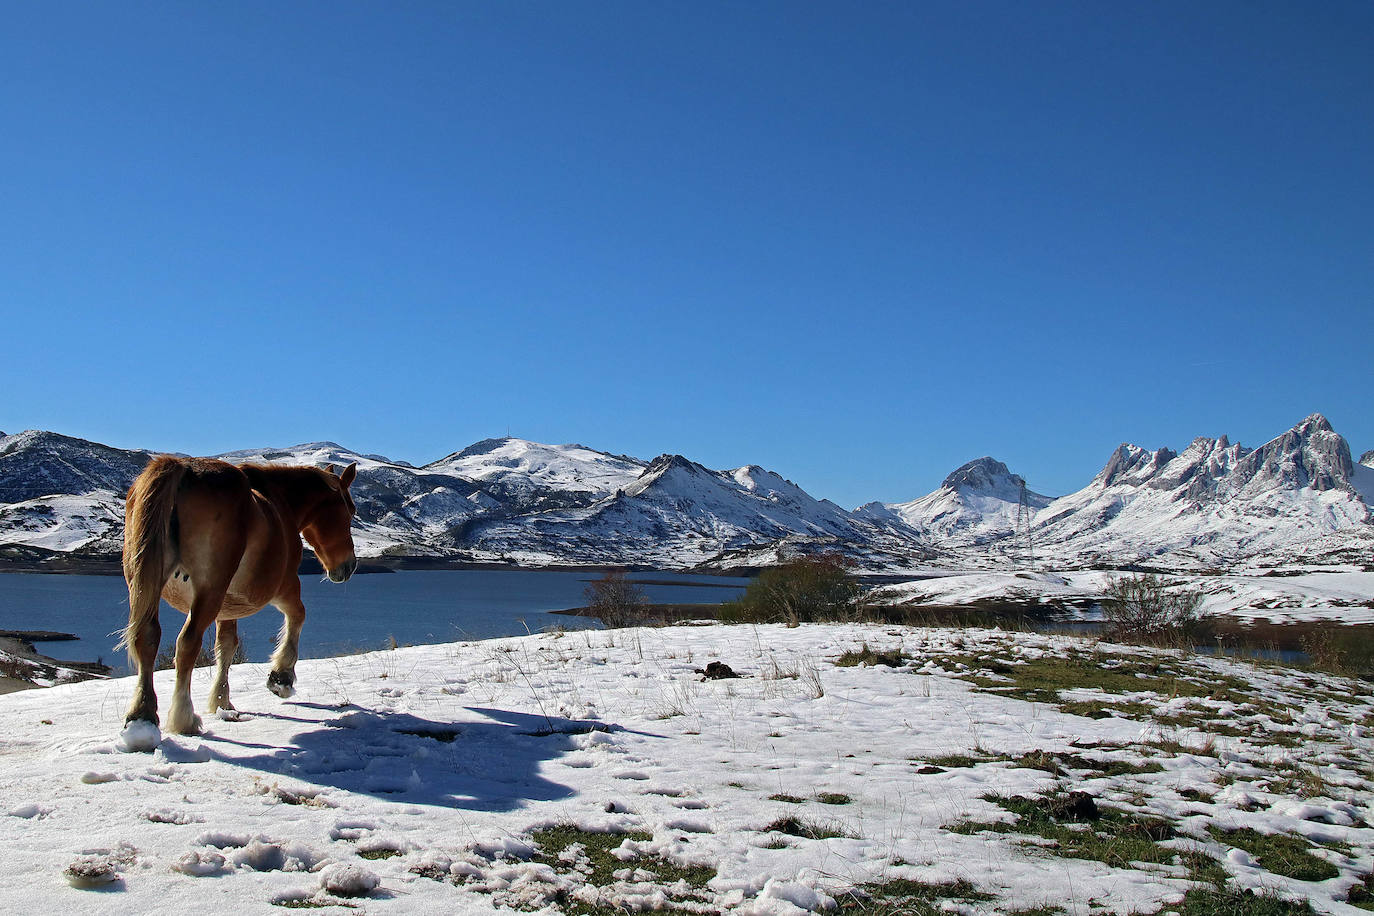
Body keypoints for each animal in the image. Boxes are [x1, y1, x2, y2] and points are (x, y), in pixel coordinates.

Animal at [121, 458, 359, 736]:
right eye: (350, 511)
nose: (349, 566)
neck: (280, 502)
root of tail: (180, 467)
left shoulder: (227, 608)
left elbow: (226, 646)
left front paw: (222, 701)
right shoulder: (284, 586)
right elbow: (298, 616)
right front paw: (281, 677)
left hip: (144, 588)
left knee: (147, 638)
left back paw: (142, 715)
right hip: (209, 591)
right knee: (187, 643)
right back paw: (184, 717)